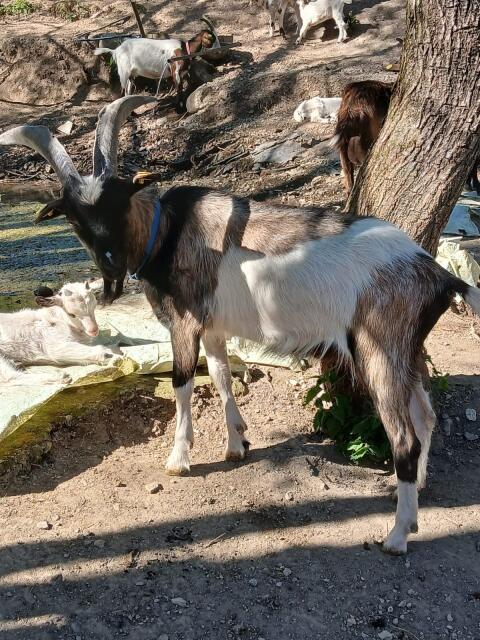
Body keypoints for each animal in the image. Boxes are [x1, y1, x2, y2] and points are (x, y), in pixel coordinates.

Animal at [2, 96, 480, 556]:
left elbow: (182, 382)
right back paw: (413, 497)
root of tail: (438, 273)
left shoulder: (185, 321)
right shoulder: (213, 327)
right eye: (73, 216)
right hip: (408, 349)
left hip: (380, 348)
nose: (111, 268)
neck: (167, 232)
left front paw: (179, 459)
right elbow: (220, 375)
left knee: (404, 438)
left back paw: (397, 536)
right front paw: (236, 444)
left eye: (119, 198)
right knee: (426, 415)